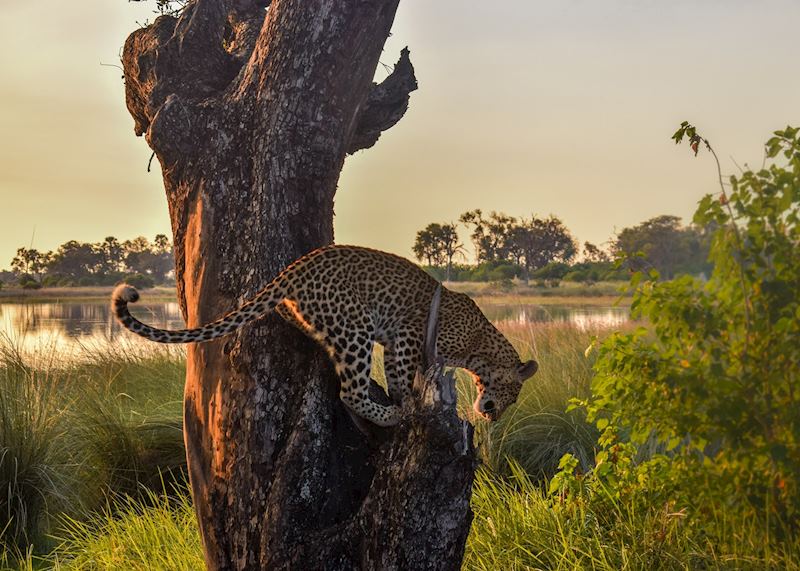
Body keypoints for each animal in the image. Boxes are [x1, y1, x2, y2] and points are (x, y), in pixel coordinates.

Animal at [111, 245, 538, 427]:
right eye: (514, 394)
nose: (493, 415)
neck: (480, 347)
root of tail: (294, 268)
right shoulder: (408, 334)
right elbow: (402, 375)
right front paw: (406, 402)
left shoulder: (401, 342)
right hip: (356, 326)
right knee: (349, 391)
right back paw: (389, 415)